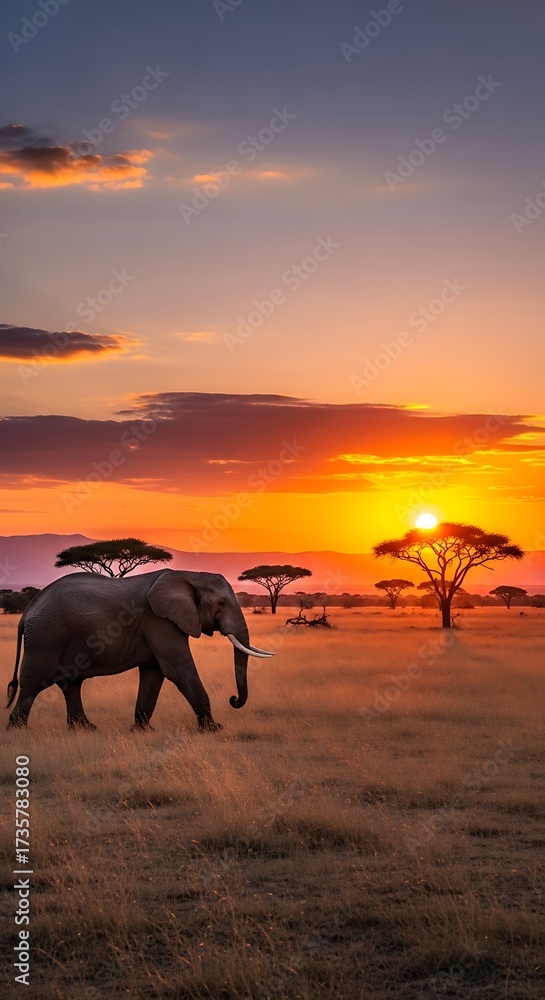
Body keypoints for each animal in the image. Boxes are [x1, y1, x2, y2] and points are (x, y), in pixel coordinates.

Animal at [6, 569, 274, 731]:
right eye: (220, 603)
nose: (233, 699)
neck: (190, 575)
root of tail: (27, 612)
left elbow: (154, 674)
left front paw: (143, 731)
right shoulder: (159, 620)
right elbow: (178, 669)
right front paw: (213, 729)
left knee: (70, 683)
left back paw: (86, 729)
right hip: (46, 637)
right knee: (34, 682)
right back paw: (18, 730)